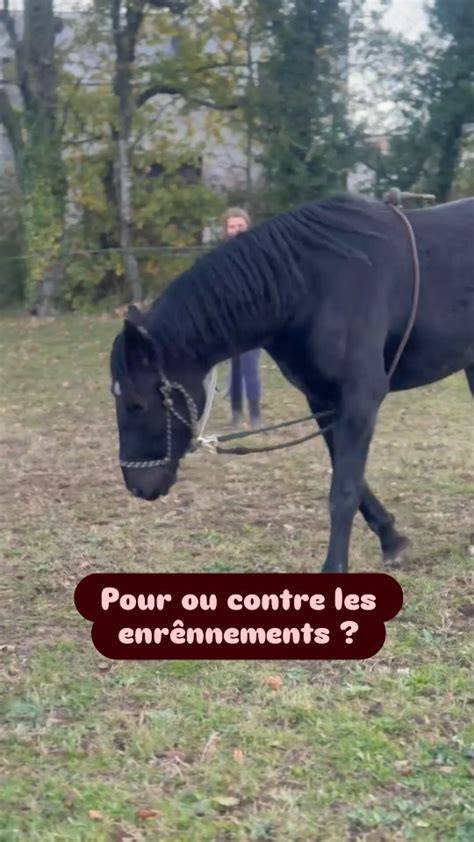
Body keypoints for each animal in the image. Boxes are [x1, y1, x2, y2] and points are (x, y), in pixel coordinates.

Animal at [110, 194, 474, 573]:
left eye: (137, 404)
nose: (137, 487)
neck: (311, 286)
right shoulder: (324, 402)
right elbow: (350, 478)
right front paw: (391, 537)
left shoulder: (360, 399)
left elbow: (344, 490)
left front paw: (335, 568)